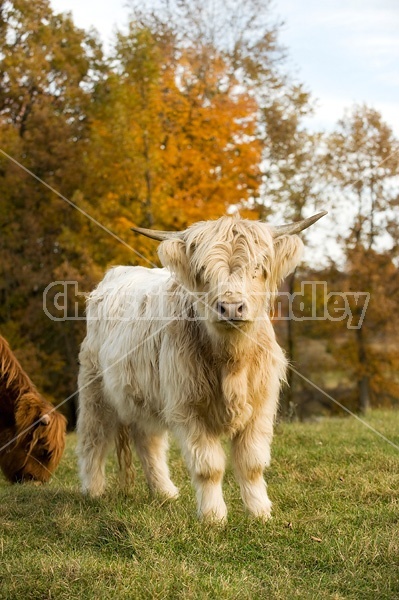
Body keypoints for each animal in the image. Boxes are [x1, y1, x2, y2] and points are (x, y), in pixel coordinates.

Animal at [77, 213, 328, 524]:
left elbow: (252, 464)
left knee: (148, 441)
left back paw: (165, 492)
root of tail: (116, 273)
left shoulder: (260, 406)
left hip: (143, 394)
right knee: (93, 437)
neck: (231, 362)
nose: (231, 307)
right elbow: (209, 468)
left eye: (258, 267)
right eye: (203, 270)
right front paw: (213, 517)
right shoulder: (189, 407)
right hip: (94, 387)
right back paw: (93, 491)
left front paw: (260, 513)